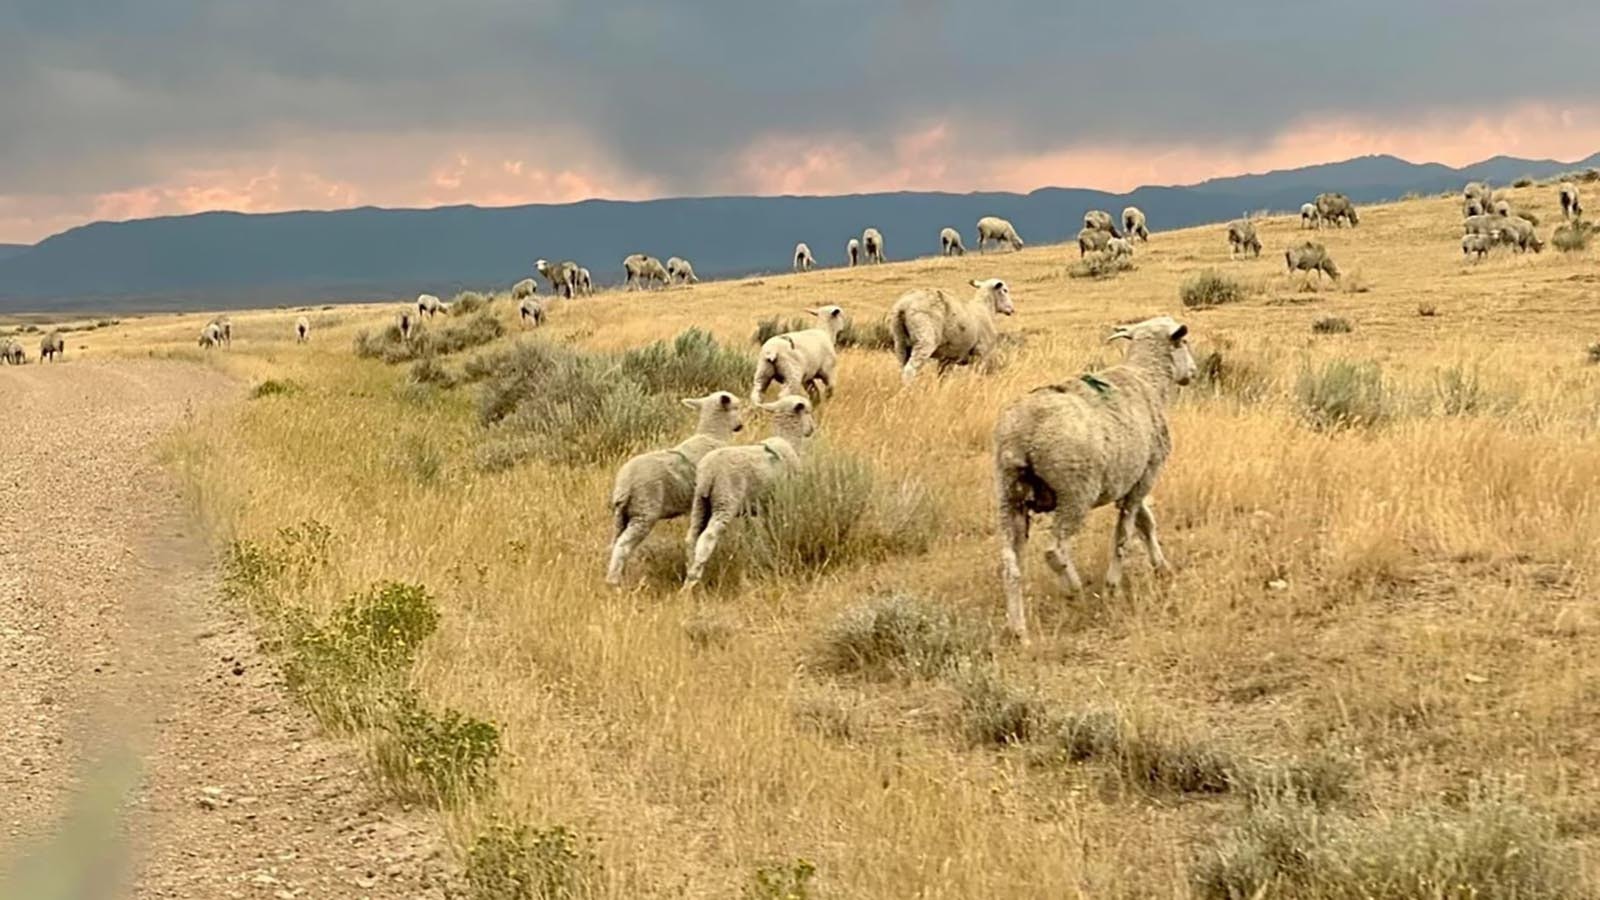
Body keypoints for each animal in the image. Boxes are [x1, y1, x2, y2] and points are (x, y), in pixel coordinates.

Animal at [604, 389, 748, 586]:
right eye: (736, 407)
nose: (740, 426)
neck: (711, 435)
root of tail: (624, 484)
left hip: (621, 515)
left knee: (615, 542)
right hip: (644, 511)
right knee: (623, 545)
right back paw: (614, 582)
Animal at [684, 395, 819, 586]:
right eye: (808, 411)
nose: (812, 429)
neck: (788, 441)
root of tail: (708, 473)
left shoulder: (754, 509)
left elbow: (753, 533)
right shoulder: (782, 500)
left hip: (700, 503)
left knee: (691, 537)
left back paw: (689, 572)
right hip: (725, 500)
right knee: (708, 537)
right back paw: (694, 579)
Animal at [992, 315, 1196, 637]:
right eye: (1185, 341)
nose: (1193, 372)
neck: (1148, 378)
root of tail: (1023, 435)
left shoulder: (1134, 480)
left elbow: (1146, 524)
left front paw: (1161, 566)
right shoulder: (1147, 473)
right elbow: (1124, 535)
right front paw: (1113, 585)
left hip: (1008, 493)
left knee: (1010, 563)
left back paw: (1019, 629)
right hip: (1075, 491)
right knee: (1054, 550)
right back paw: (1075, 589)